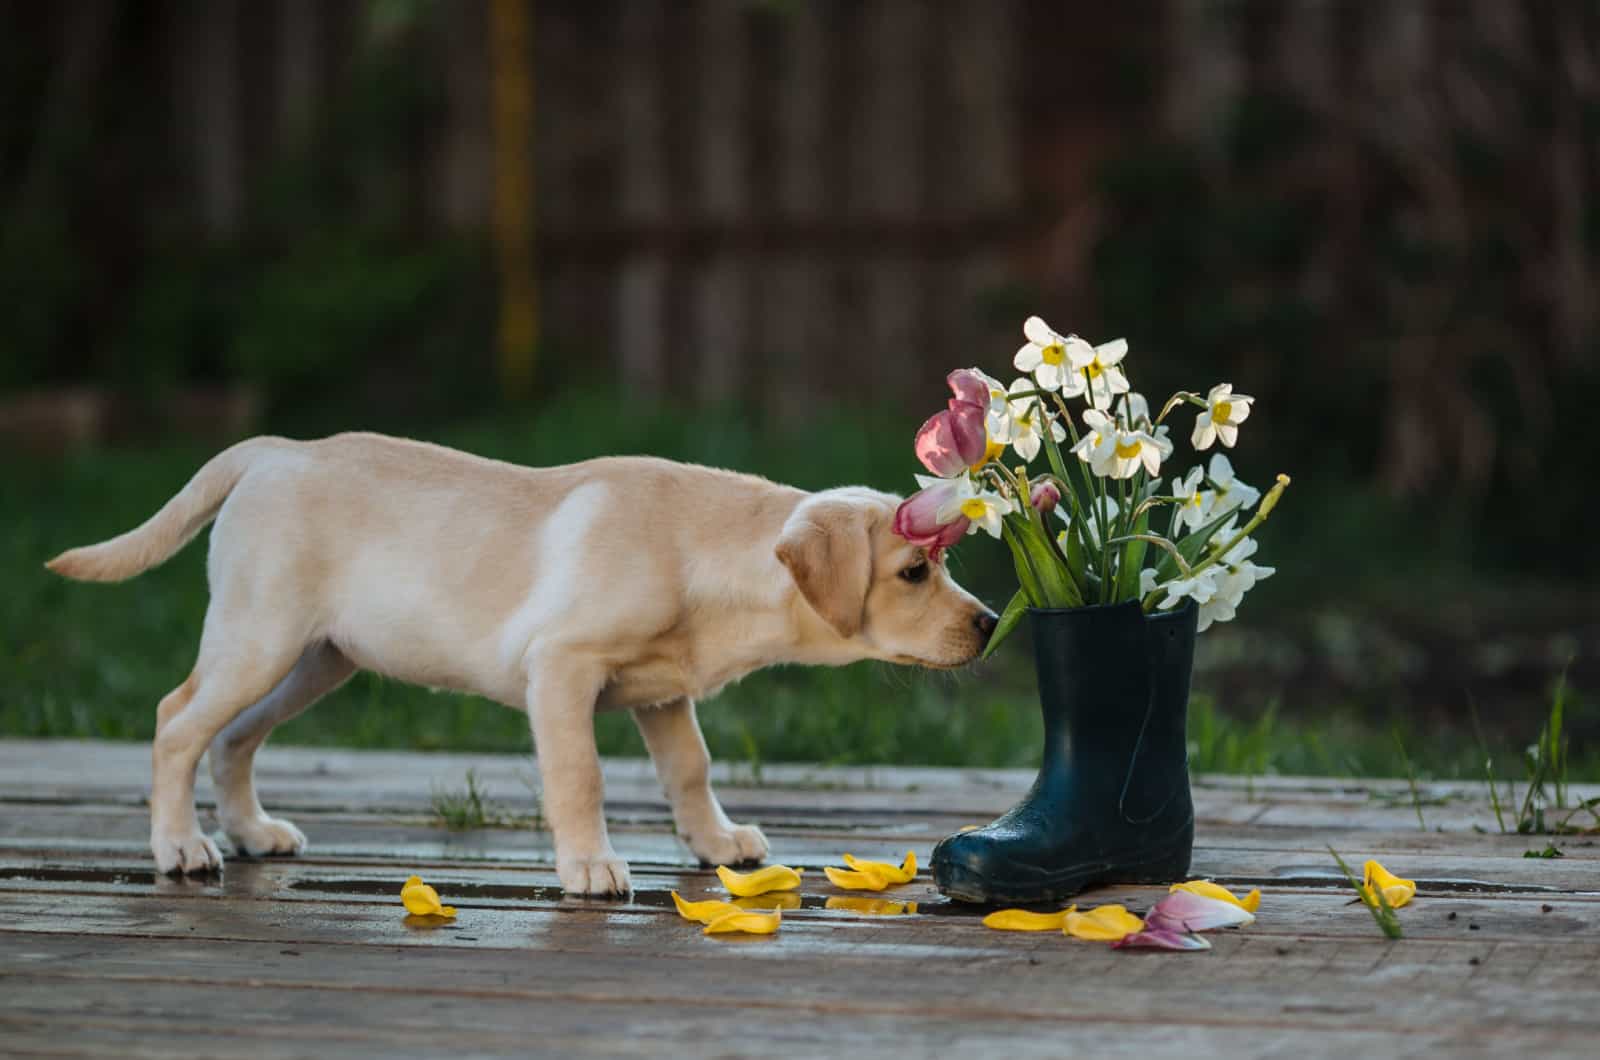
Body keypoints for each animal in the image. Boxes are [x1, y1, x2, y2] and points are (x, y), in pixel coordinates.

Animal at [46, 432, 998, 896]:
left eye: (943, 563)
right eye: (914, 573)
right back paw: (182, 846)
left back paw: (251, 830)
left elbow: (691, 769)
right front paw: (589, 866)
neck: (702, 557)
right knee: (177, 721)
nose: (990, 625)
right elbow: (580, 777)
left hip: (317, 660)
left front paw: (717, 842)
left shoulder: (663, 695)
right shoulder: (563, 669)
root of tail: (273, 450)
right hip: (260, 636)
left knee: (233, 737)